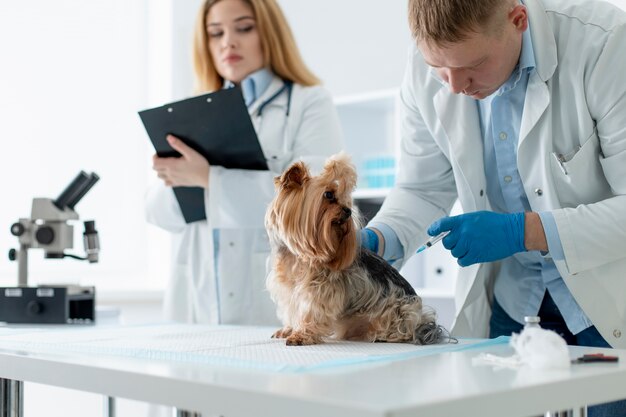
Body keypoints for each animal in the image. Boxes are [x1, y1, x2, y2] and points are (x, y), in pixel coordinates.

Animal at [264, 153, 444, 344]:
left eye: (346, 199)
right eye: (328, 194)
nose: (348, 211)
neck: (300, 255)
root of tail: (422, 321)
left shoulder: (321, 288)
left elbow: (313, 311)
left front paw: (302, 335)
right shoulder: (288, 288)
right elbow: (292, 309)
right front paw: (289, 329)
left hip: (398, 310)